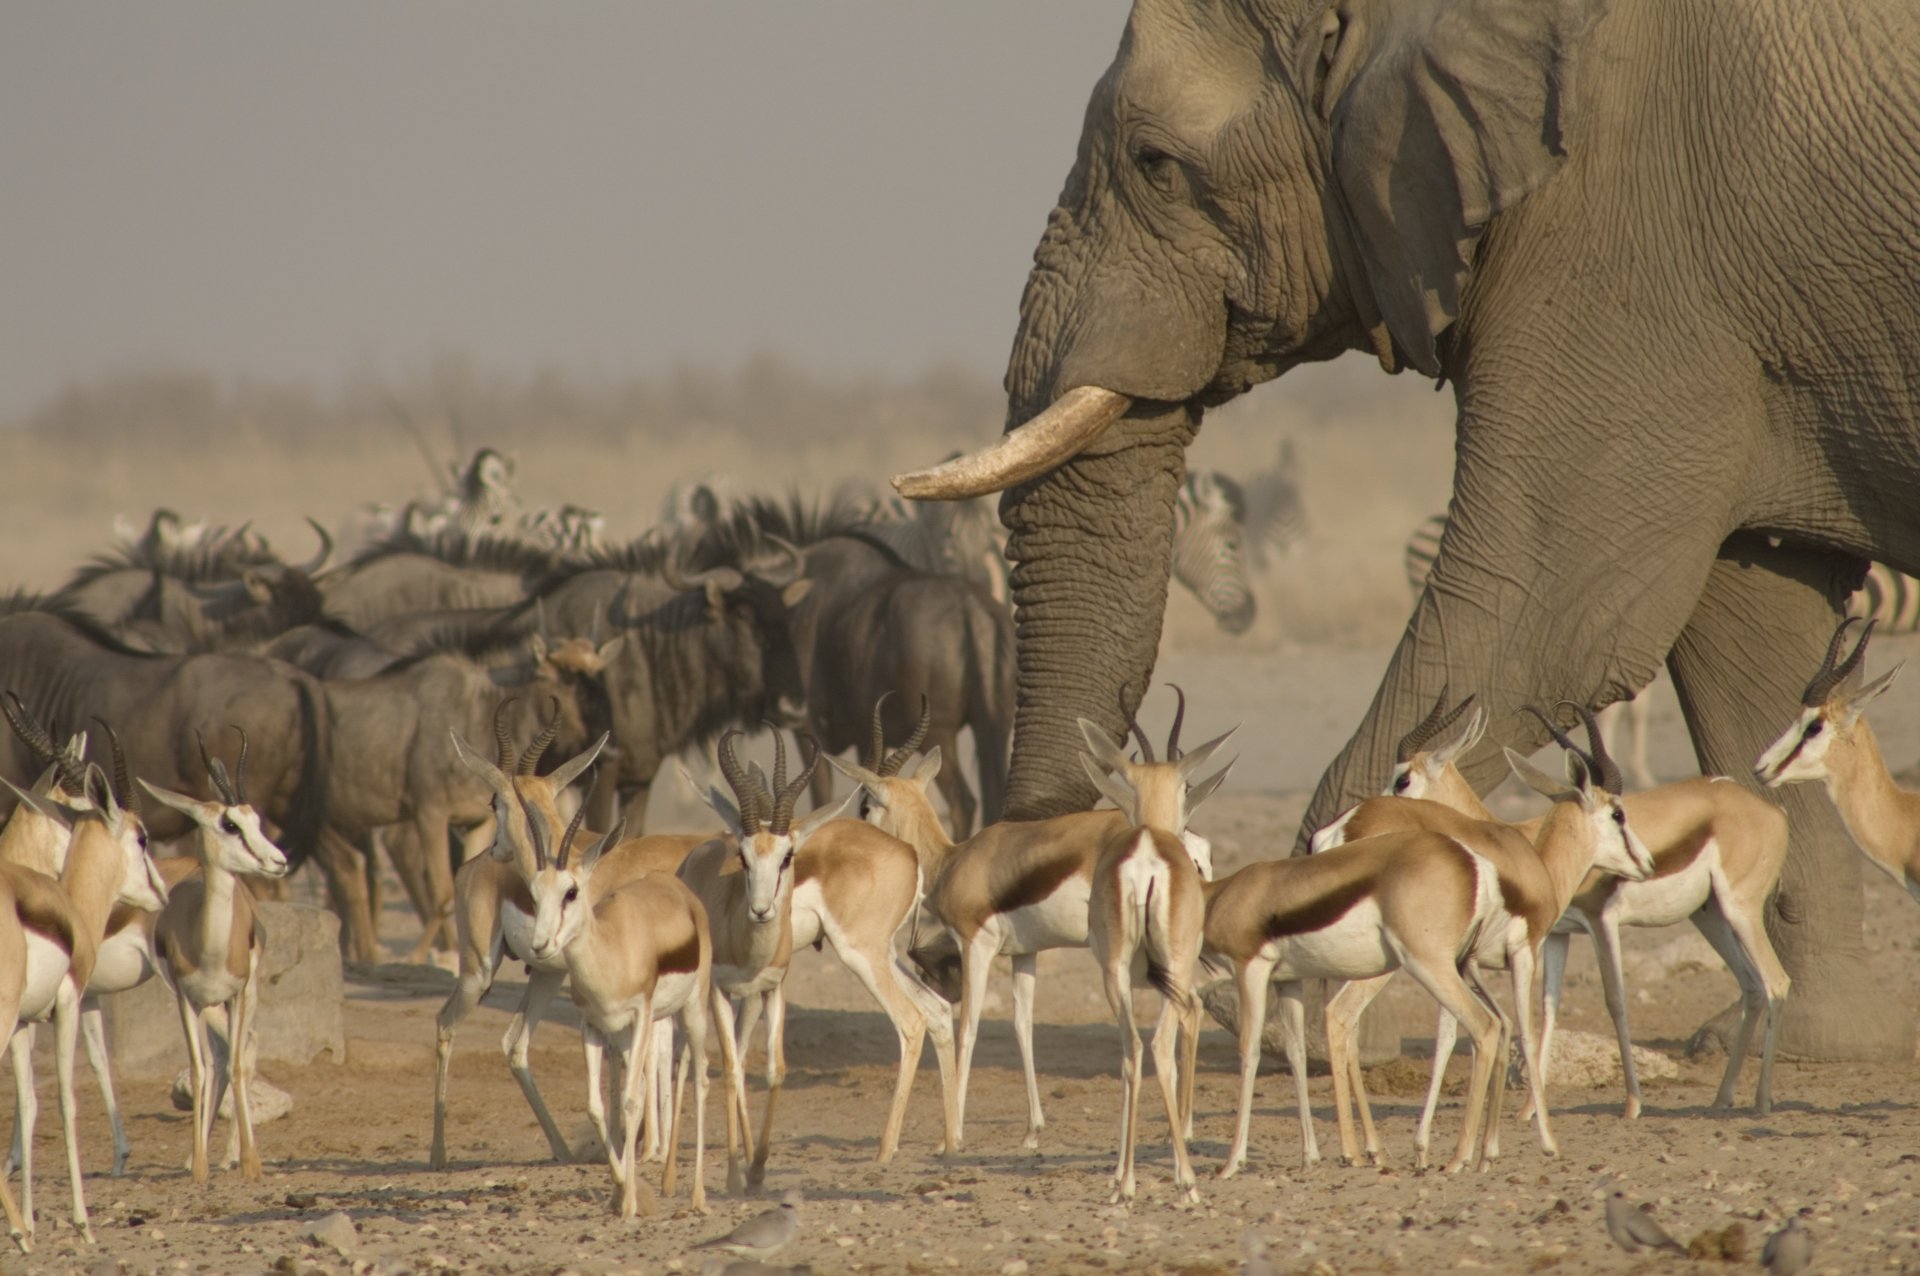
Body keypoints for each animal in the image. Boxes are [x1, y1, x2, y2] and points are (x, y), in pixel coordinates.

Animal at [895, 0, 1920, 1060]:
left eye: (1155, 164)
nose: (938, 951)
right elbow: (1752, 633)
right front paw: (1808, 1032)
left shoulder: (1624, 247)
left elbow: (1543, 615)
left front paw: (1293, 991)